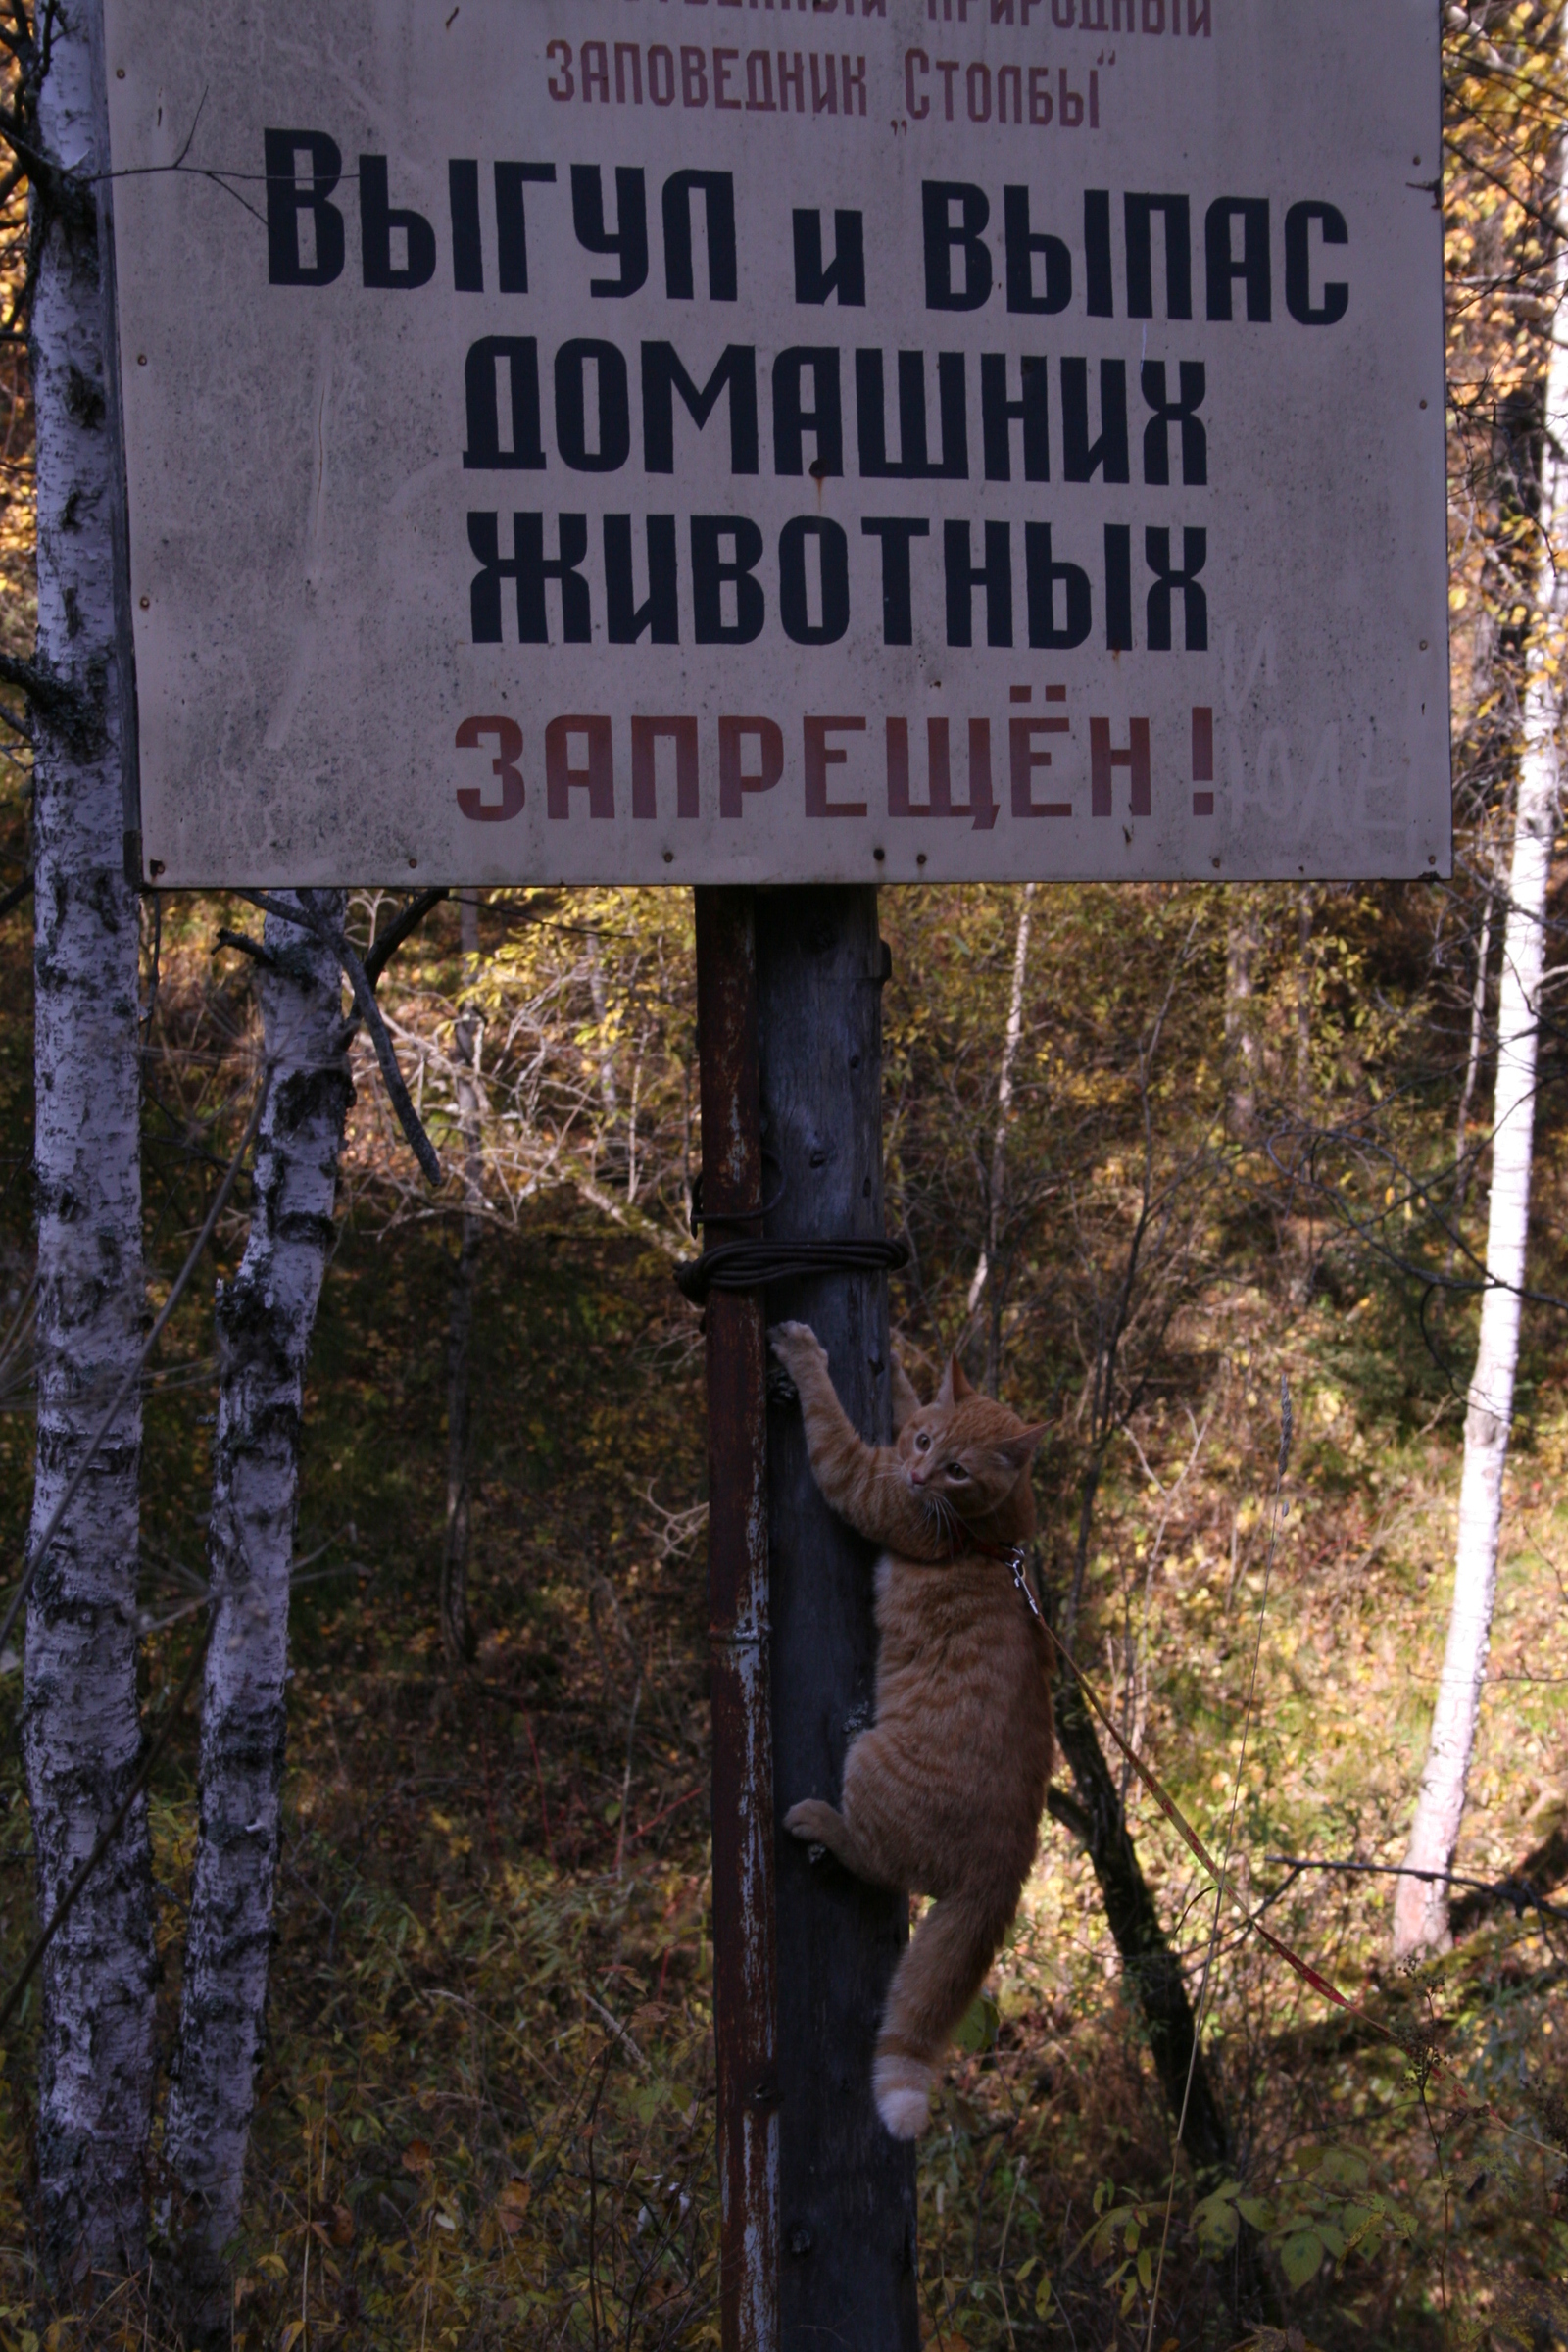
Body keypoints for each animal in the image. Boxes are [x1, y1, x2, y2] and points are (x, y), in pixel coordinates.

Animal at [766, 1317, 1048, 2144]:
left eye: (956, 1471)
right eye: (924, 1441)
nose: (920, 1477)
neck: (992, 1534)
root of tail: (1009, 1862)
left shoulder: (860, 1479)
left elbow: (829, 1419)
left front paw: (804, 1355)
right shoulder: (888, 1460)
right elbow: (897, 1394)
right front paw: (894, 1362)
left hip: (867, 1760)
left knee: (876, 1861)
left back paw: (818, 1821)